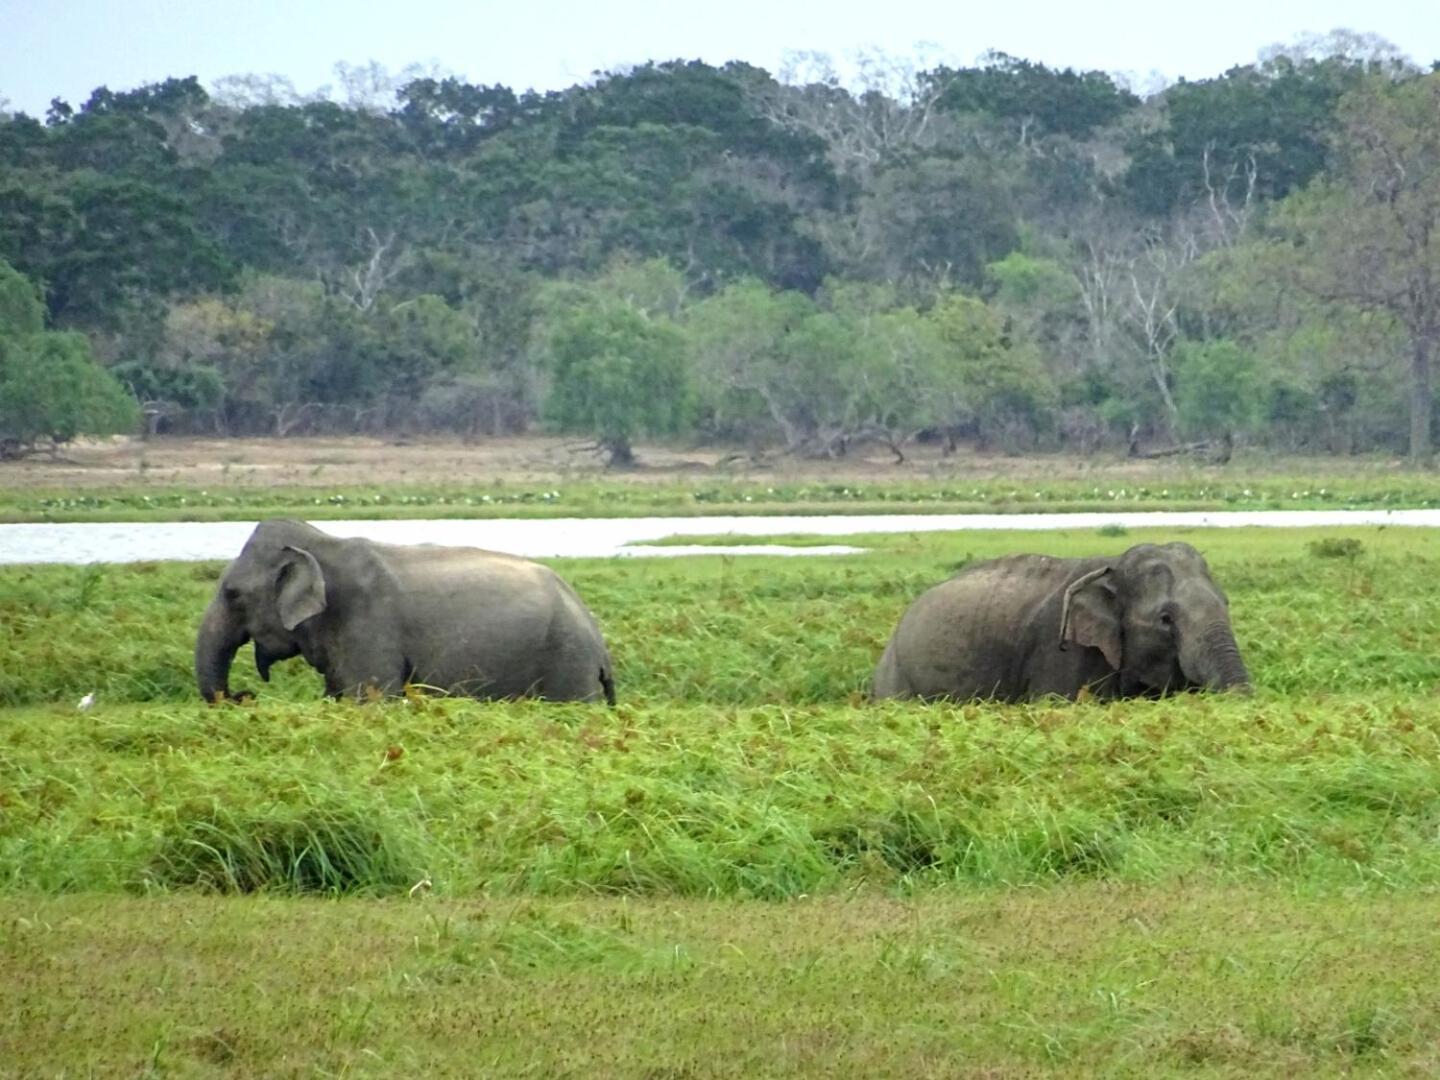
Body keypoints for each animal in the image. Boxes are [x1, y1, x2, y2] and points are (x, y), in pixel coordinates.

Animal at [195, 521, 613, 705]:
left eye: (232, 594)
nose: (244, 695)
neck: (323, 543)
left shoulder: (368, 626)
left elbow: (371, 699)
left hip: (568, 667)